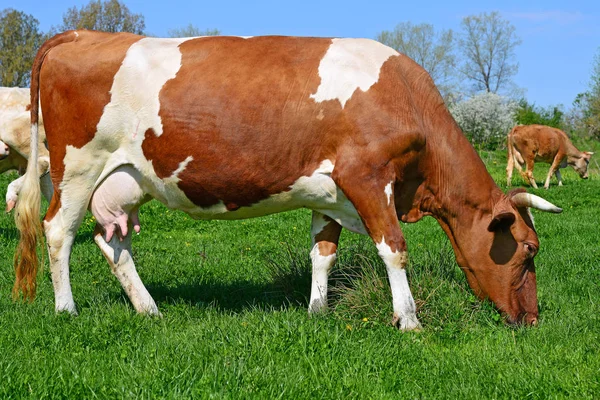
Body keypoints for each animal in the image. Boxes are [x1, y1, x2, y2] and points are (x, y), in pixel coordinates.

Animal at [14, 31, 564, 330]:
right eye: (529, 249)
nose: (533, 320)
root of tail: (82, 34)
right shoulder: (366, 178)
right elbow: (394, 249)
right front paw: (409, 320)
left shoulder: (333, 193)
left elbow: (324, 252)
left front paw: (317, 311)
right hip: (77, 166)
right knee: (58, 230)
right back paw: (66, 309)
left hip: (125, 181)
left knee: (112, 242)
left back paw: (149, 310)